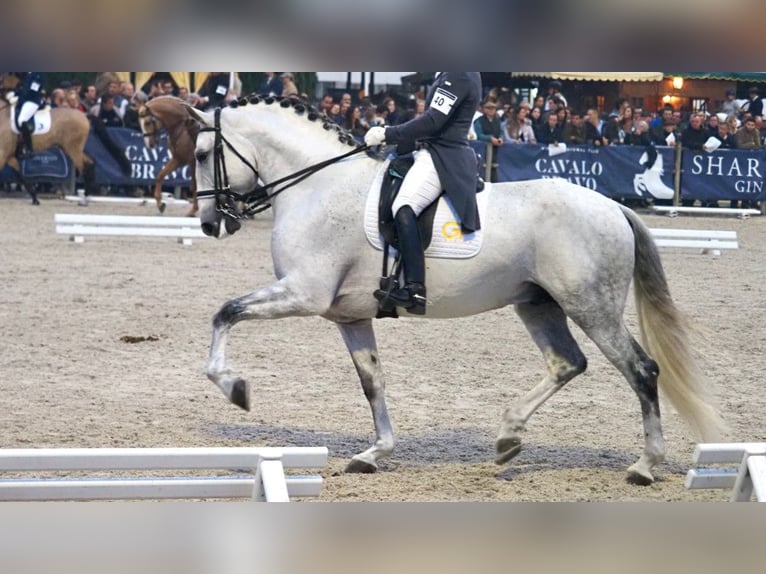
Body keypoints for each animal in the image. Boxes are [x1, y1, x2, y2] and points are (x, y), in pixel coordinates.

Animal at [186, 94, 728, 486]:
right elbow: (373, 383)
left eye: (201, 154)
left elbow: (224, 312)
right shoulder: (349, 316)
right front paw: (374, 453)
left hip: (591, 306)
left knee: (641, 369)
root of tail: (613, 206)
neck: (319, 185)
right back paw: (508, 438)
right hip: (538, 305)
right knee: (567, 362)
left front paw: (234, 387)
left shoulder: (302, 293)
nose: (212, 223)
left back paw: (644, 466)